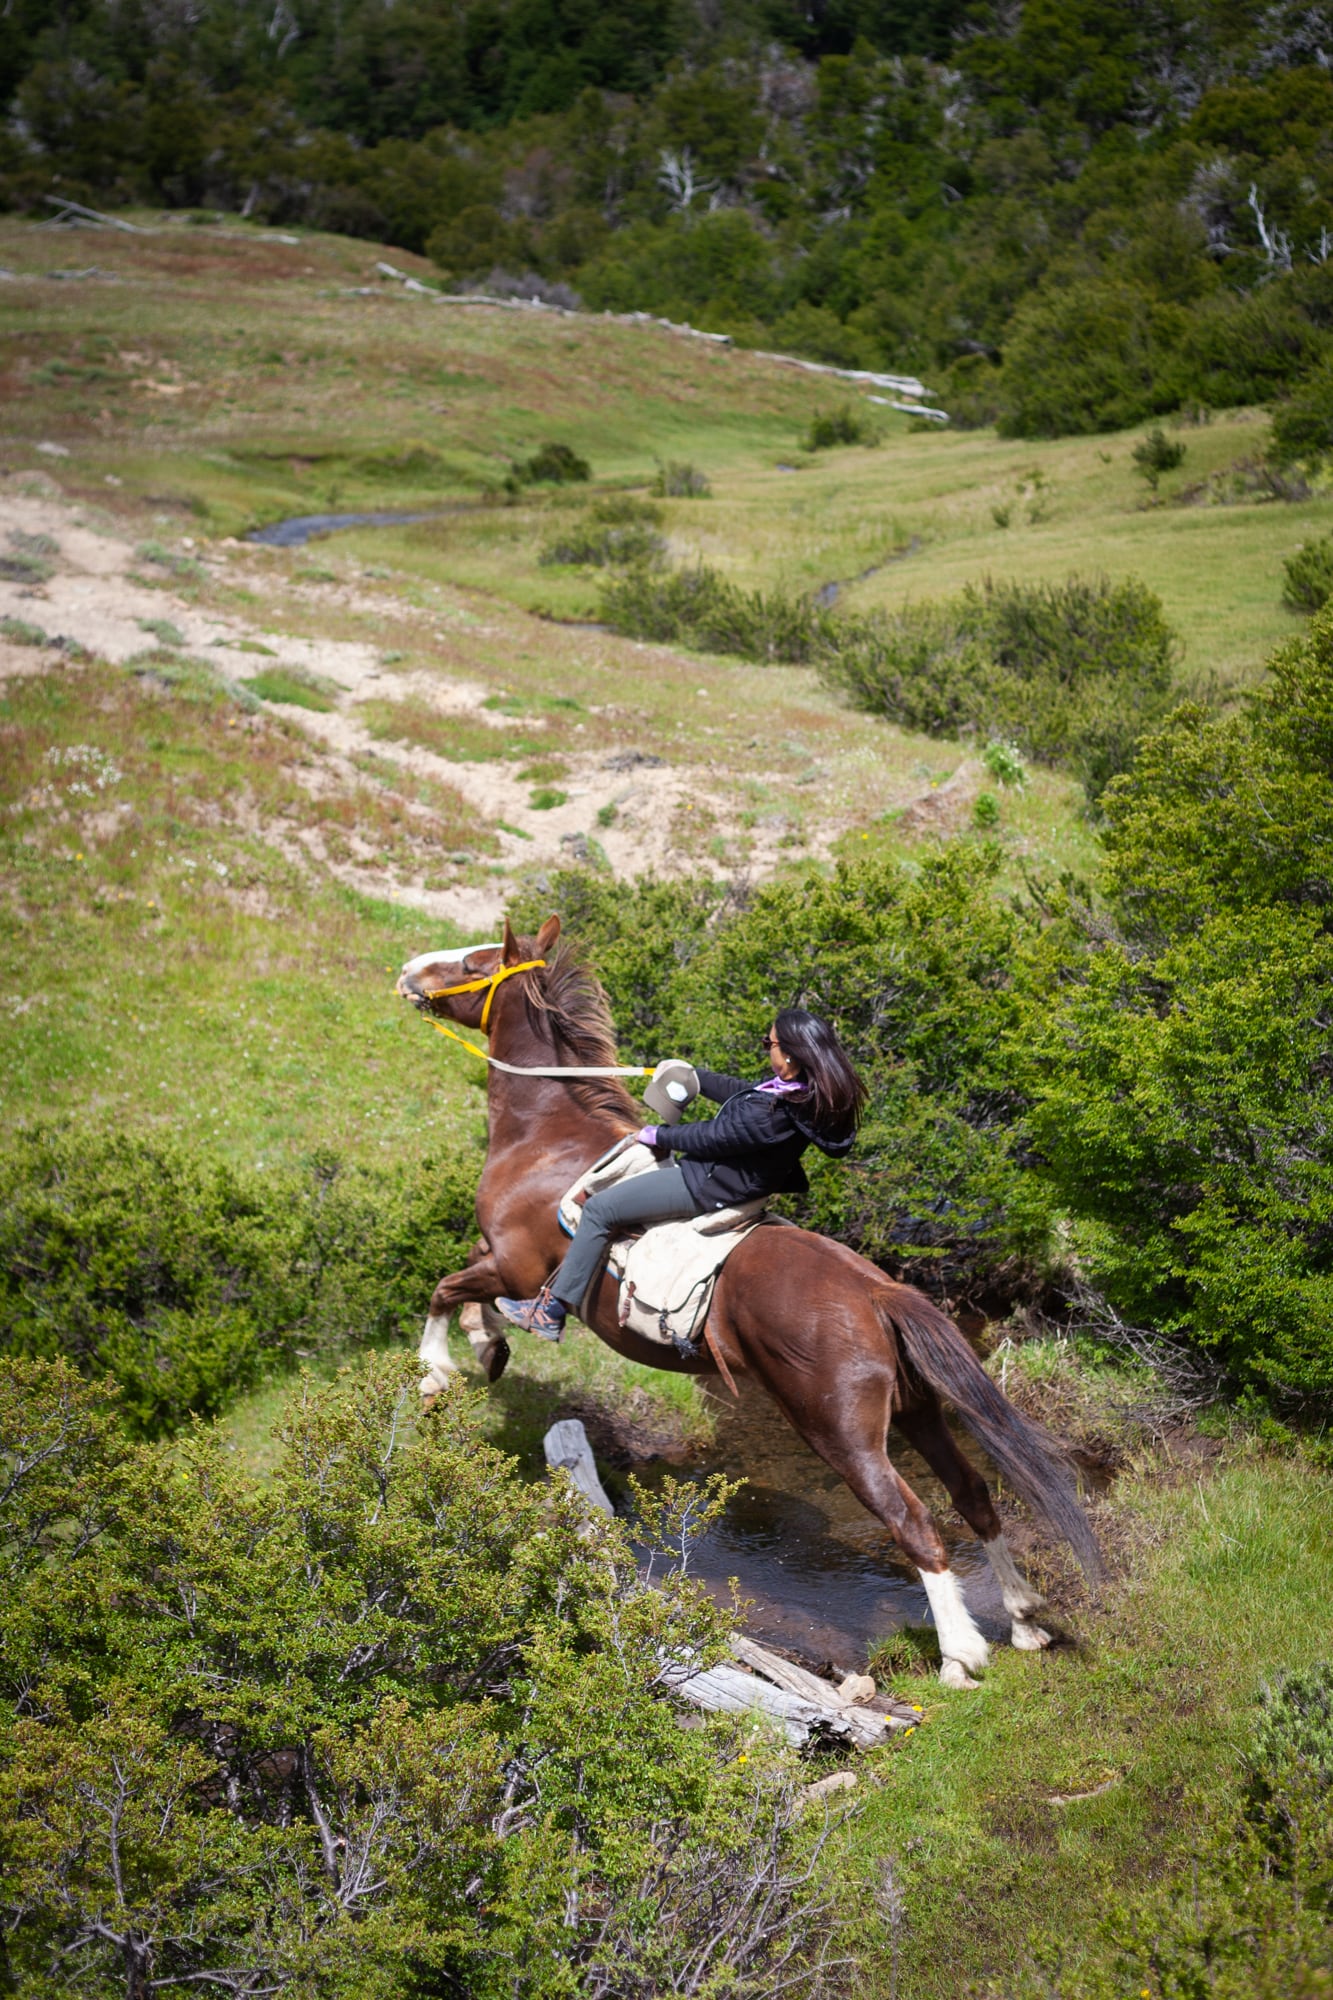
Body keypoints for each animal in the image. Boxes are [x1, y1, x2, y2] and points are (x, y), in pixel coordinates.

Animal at [396, 920, 1096, 1688]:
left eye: (472, 960)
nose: (408, 971)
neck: (544, 1137)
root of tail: (878, 1290)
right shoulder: (501, 1259)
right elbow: (465, 1283)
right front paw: (486, 1342)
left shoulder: (517, 1265)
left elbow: (446, 1286)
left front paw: (439, 1368)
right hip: (918, 1410)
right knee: (971, 1492)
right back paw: (1024, 1620)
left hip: (840, 1431)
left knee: (910, 1518)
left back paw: (960, 1657)